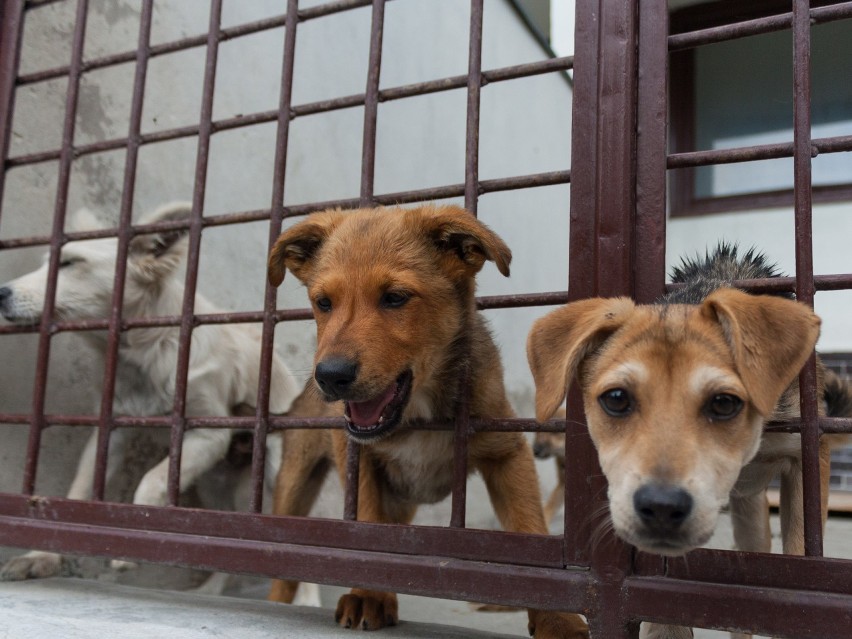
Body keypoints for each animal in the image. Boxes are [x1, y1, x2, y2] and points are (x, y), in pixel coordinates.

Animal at [0, 202, 316, 604]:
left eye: (70, 263)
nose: (0, 293)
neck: (146, 351)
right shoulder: (112, 431)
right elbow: (78, 491)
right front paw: (42, 556)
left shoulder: (210, 433)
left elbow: (151, 479)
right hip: (214, 485)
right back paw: (211, 590)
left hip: (275, 472)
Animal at [268, 206, 592, 639]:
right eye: (323, 302)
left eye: (395, 298)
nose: (330, 377)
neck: (418, 413)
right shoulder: (357, 457)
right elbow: (367, 525)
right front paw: (370, 594)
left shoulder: (508, 453)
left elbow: (529, 526)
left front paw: (558, 619)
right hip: (295, 484)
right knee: (282, 577)